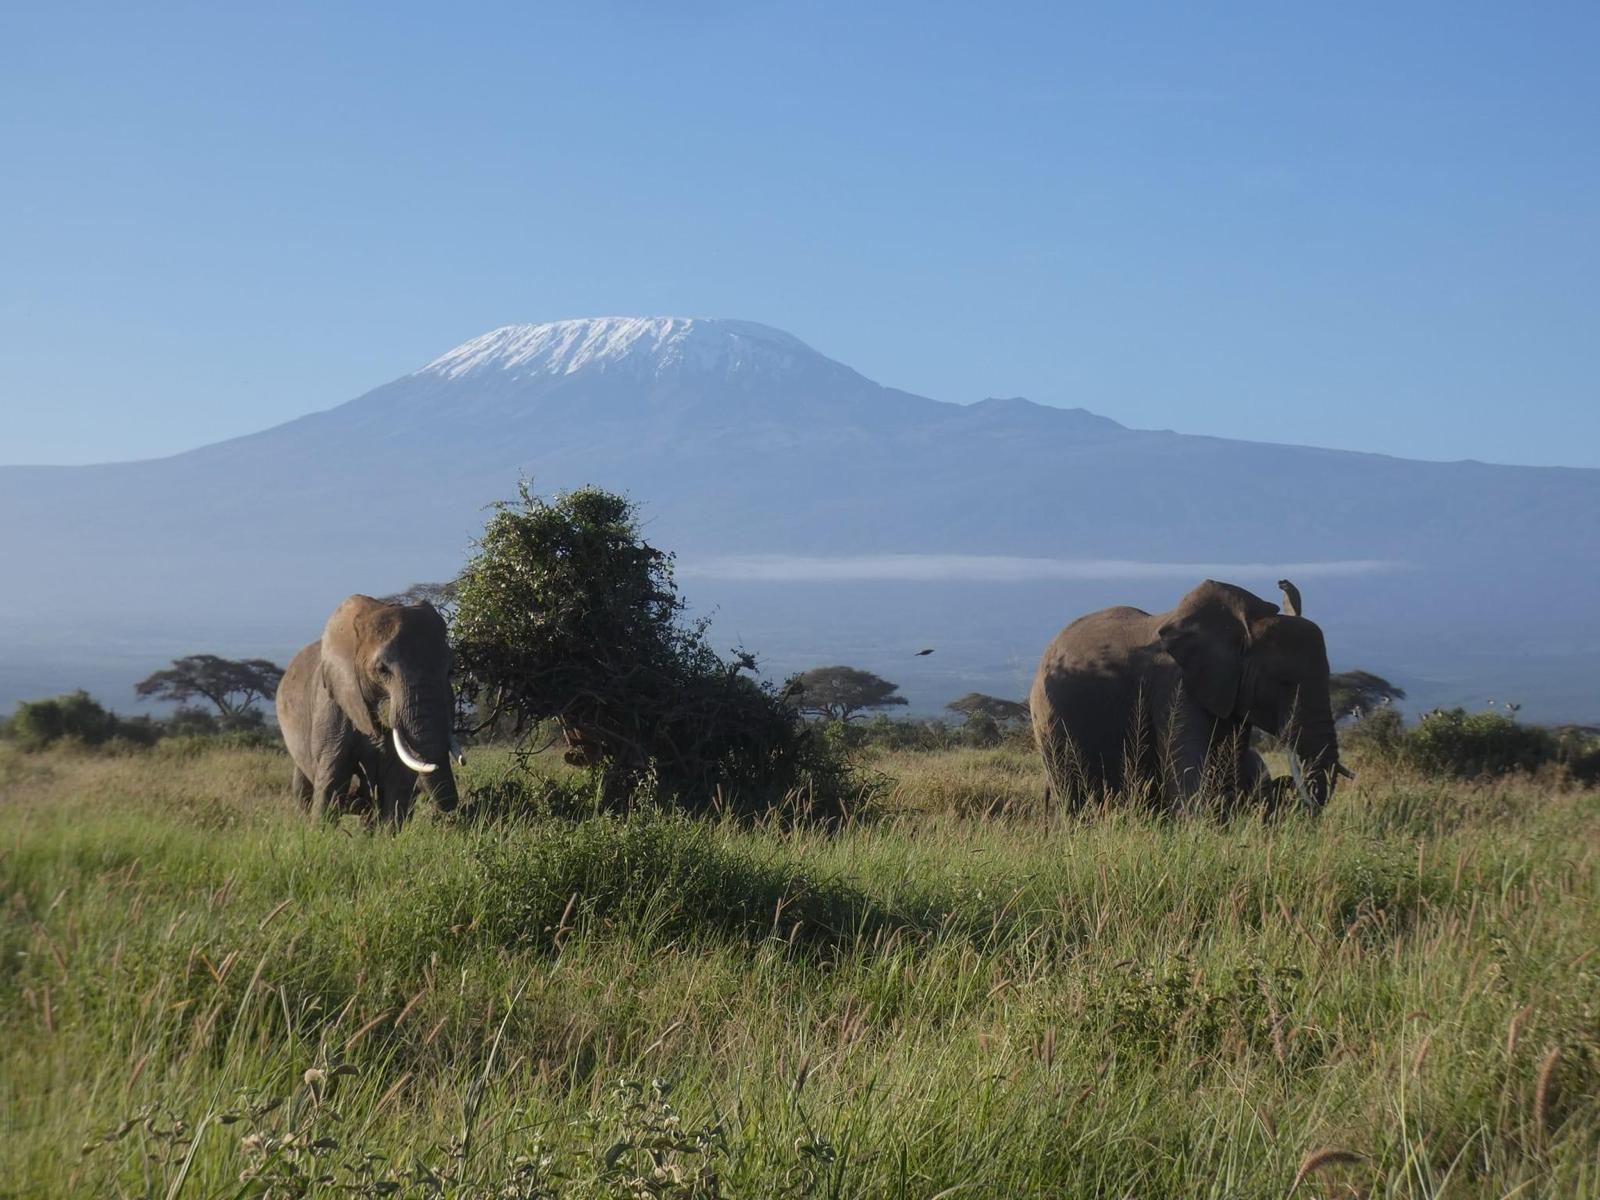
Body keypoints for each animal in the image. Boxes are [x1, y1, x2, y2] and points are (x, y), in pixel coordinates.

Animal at [273, 598, 464, 832]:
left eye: (451, 670)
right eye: (382, 670)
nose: (451, 806)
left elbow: (397, 783)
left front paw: (387, 837)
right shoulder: (332, 705)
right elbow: (332, 778)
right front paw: (318, 835)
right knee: (303, 789)